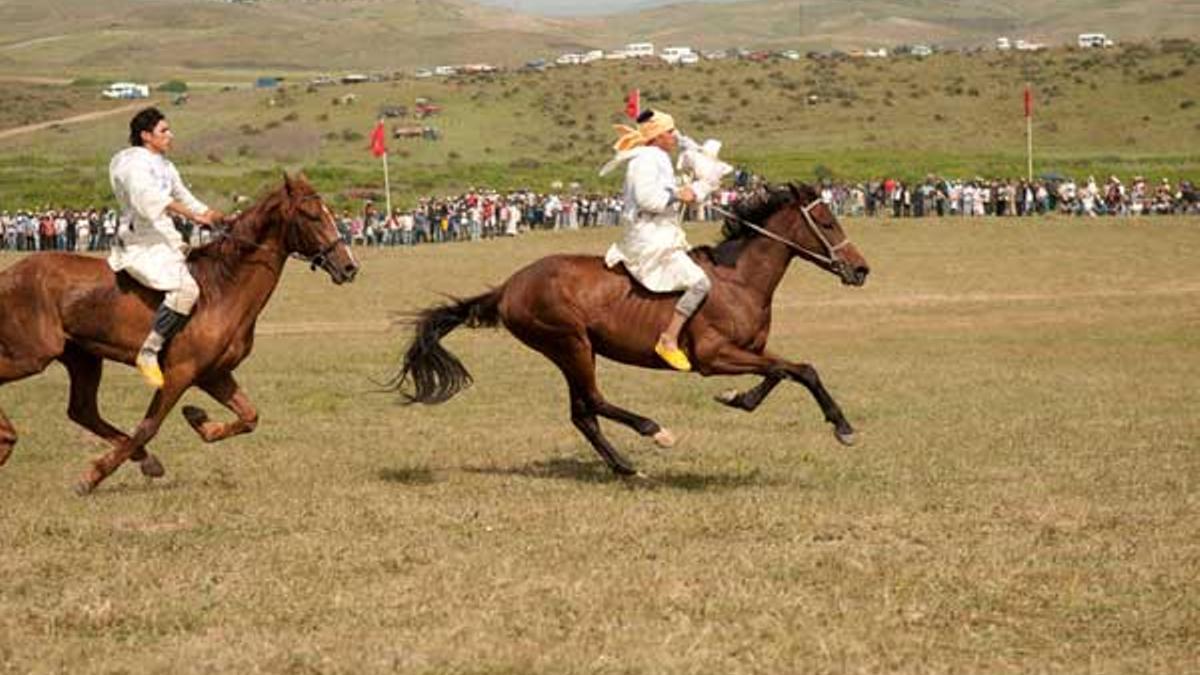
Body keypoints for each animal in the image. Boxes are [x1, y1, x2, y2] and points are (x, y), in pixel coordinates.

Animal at [0, 171, 355, 487]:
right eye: (312, 215)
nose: (349, 267)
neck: (222, 288)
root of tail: (9, 274)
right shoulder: (179, 373)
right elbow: (149, 426)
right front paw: (93, 476)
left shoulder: (214, 374)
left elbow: (249, 416)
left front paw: (199, 420)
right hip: (33, 353)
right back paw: (8, 438)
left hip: (82, 357)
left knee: (82, 410)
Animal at [393, 181, 873, 475]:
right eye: (827, 223)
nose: (861, 270)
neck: (739, 279)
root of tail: (509, 285)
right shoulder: (713, 357)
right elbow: (797, 369)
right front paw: (843, 427)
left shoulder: (749, 350)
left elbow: (786, 371)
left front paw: (740, 399)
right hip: (569, 343)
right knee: (592, 402)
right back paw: (653, 431)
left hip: (573, 349)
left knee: (582, 413)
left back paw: (624, 465)